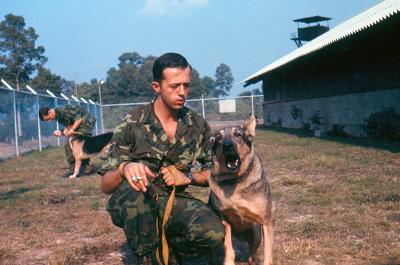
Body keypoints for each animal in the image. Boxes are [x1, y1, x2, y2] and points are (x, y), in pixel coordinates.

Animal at [208, 116, 274, 264]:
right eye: (219, 138)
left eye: (237, 134)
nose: (227, 145)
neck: (235, 181)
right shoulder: (225, 221)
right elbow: (229, 250)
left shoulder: (267, 221)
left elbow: (268, 254)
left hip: (256, 233)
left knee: (252, 255)